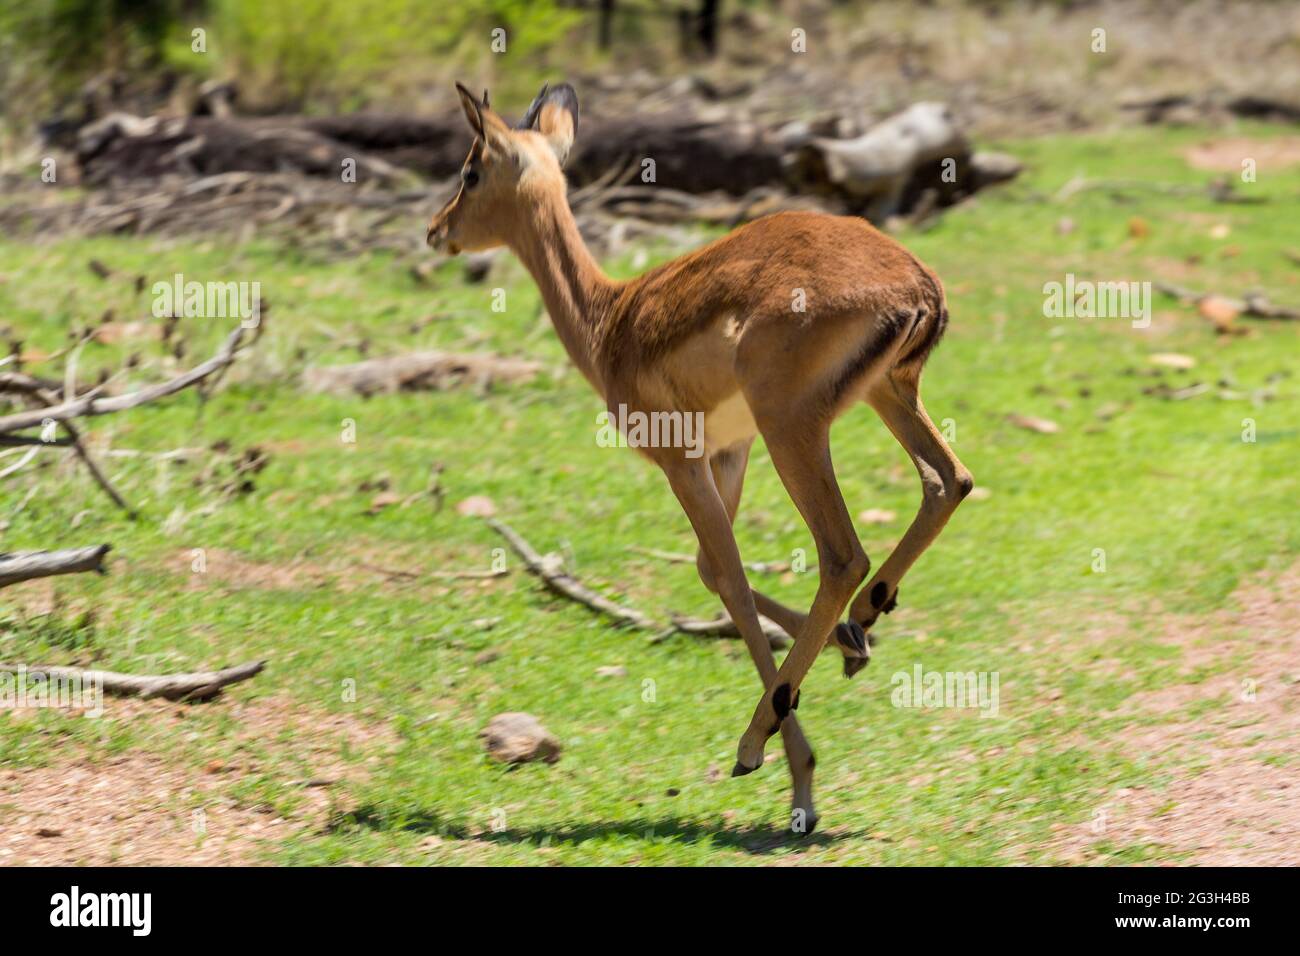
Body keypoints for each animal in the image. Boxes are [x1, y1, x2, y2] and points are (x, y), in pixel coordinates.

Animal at [428, 82, 973, 832]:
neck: (610, 319)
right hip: (887, 395)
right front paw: (850, 650)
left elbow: (731, 580)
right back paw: (863, 621)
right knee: (949, 482)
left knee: (842, 553)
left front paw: (793, 775)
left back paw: (757, 735)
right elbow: (712, 571)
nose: (436, 230)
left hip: (795, 428)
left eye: (471, 170)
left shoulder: (681, 462)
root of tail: (919, 286)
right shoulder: (728, 453)